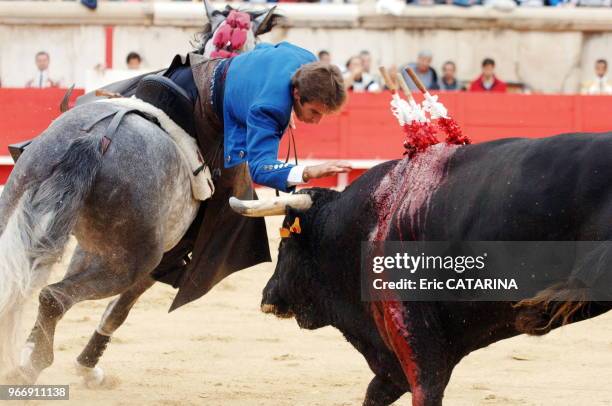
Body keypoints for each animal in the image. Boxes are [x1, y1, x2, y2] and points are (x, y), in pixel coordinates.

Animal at [0, 0, 278, 386]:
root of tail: (95, 141)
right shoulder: (165, 257)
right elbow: (118, 311)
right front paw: (85, 365)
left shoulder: (92, 244)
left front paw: (32, 347)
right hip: (135, 259)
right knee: (56, 296)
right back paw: (31, 368)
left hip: (17, 202)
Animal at [256, 132, 612, 404]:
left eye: (285, 241)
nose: (267, 296)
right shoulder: (396, 360)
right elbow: (376, 392)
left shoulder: (415, 335)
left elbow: (425, 390)